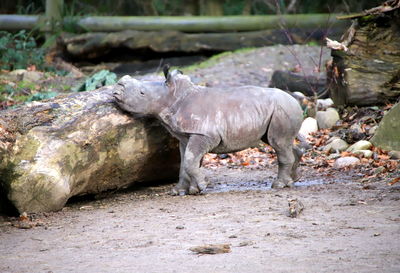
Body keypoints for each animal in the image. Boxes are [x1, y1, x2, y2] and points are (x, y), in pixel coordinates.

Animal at [112, 65, 304, 194]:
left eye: (142, 93)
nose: (117, 88)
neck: (172, 97)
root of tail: (295, 101)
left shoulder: (204, 134)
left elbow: (190, 161)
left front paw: (201, 186)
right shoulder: (185, 136)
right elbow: (185, 162)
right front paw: (182, 191)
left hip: (282, 109)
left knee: (278, 143)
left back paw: (279, 185)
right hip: (275, 111)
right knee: (280, 142)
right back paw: (293, 180)